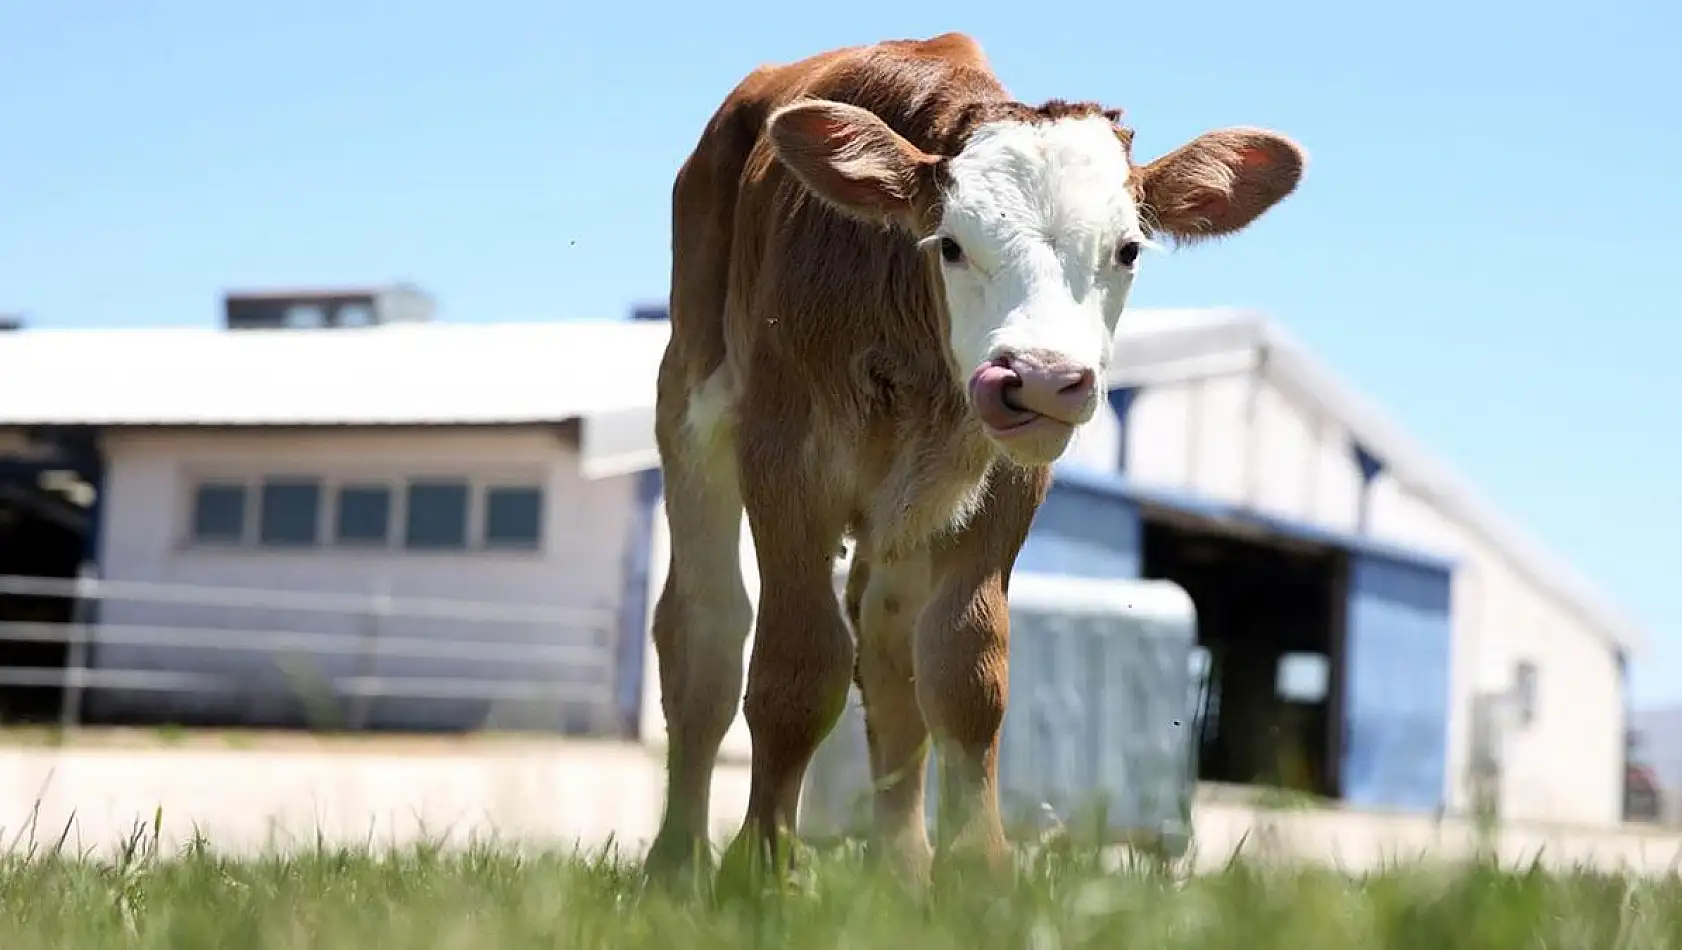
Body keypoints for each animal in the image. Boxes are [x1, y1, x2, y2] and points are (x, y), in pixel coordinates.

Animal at [642, 33, 1298, 881]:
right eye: (951, 244)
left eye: (1127, 250)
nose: (1042, 376)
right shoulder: (786, 462)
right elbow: (797, 667)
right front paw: (761, 869)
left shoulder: (1007, 483)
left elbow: (964, 669)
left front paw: (976, 870)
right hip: (691, 409)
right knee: (706, 634)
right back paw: (677, 862)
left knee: (890, 657)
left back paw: (900, 868)